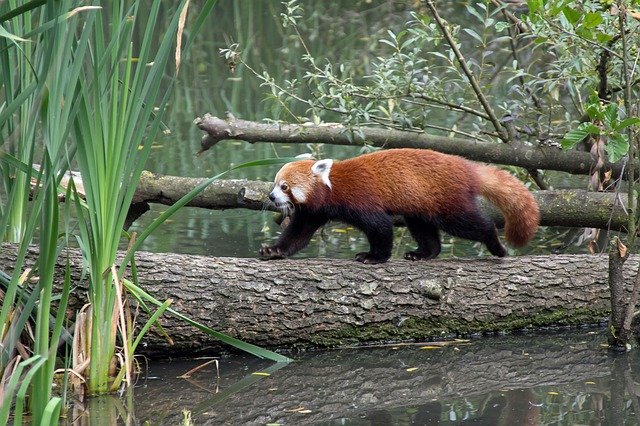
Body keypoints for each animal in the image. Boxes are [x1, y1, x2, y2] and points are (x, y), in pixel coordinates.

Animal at [260, 149, 540, 262]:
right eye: (274, 184)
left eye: (284, 187)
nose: (272, 197)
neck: (331, 189)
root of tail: (466, 166)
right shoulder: (315, 211)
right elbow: (298, 235)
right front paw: (274, 250)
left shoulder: (359, 199)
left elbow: (381, 227)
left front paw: (373, 257)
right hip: (420, 205)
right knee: (424, 229)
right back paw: (424, 253)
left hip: (449, 201)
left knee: (472, 224)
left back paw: (497, 246)